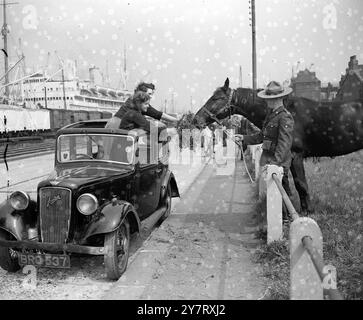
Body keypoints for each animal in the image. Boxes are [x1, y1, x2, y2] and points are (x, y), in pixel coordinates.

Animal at [195, 77, 363, 212]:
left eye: (216, 98)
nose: (196, 119)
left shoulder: (295, 155)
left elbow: (301, 184)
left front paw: (307, 212)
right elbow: (287, 185)